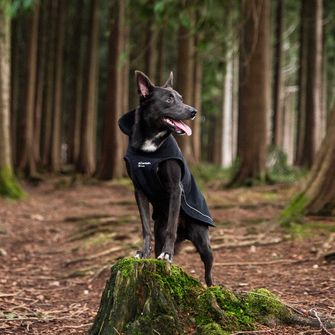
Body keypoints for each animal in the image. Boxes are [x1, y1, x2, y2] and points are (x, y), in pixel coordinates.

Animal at [119, 71, 215, 286]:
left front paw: (168, 255)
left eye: (181, 98)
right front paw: (142, 252)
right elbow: (145, 227)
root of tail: (185, 232)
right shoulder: (138, 190)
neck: (150, 142)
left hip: (202, 238)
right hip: (160, 230)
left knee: (208, 268)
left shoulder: (175, 188)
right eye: (169, 99)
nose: (193, 111)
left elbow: (172, 226)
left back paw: (211, 286)